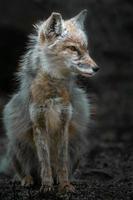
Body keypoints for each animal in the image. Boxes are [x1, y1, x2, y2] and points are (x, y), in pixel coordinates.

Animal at [1, 9, 99, 194]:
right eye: (73, 48)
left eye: (86, 49)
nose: (97, 68)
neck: (53, 91)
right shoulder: (38, 123)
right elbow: (45, 162)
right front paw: (46, 186)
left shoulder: (64, 122)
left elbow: (62, 162)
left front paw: (65, 185)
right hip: (17, 144)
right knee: (23, 171)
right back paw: (28, 180)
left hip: (78, 145)